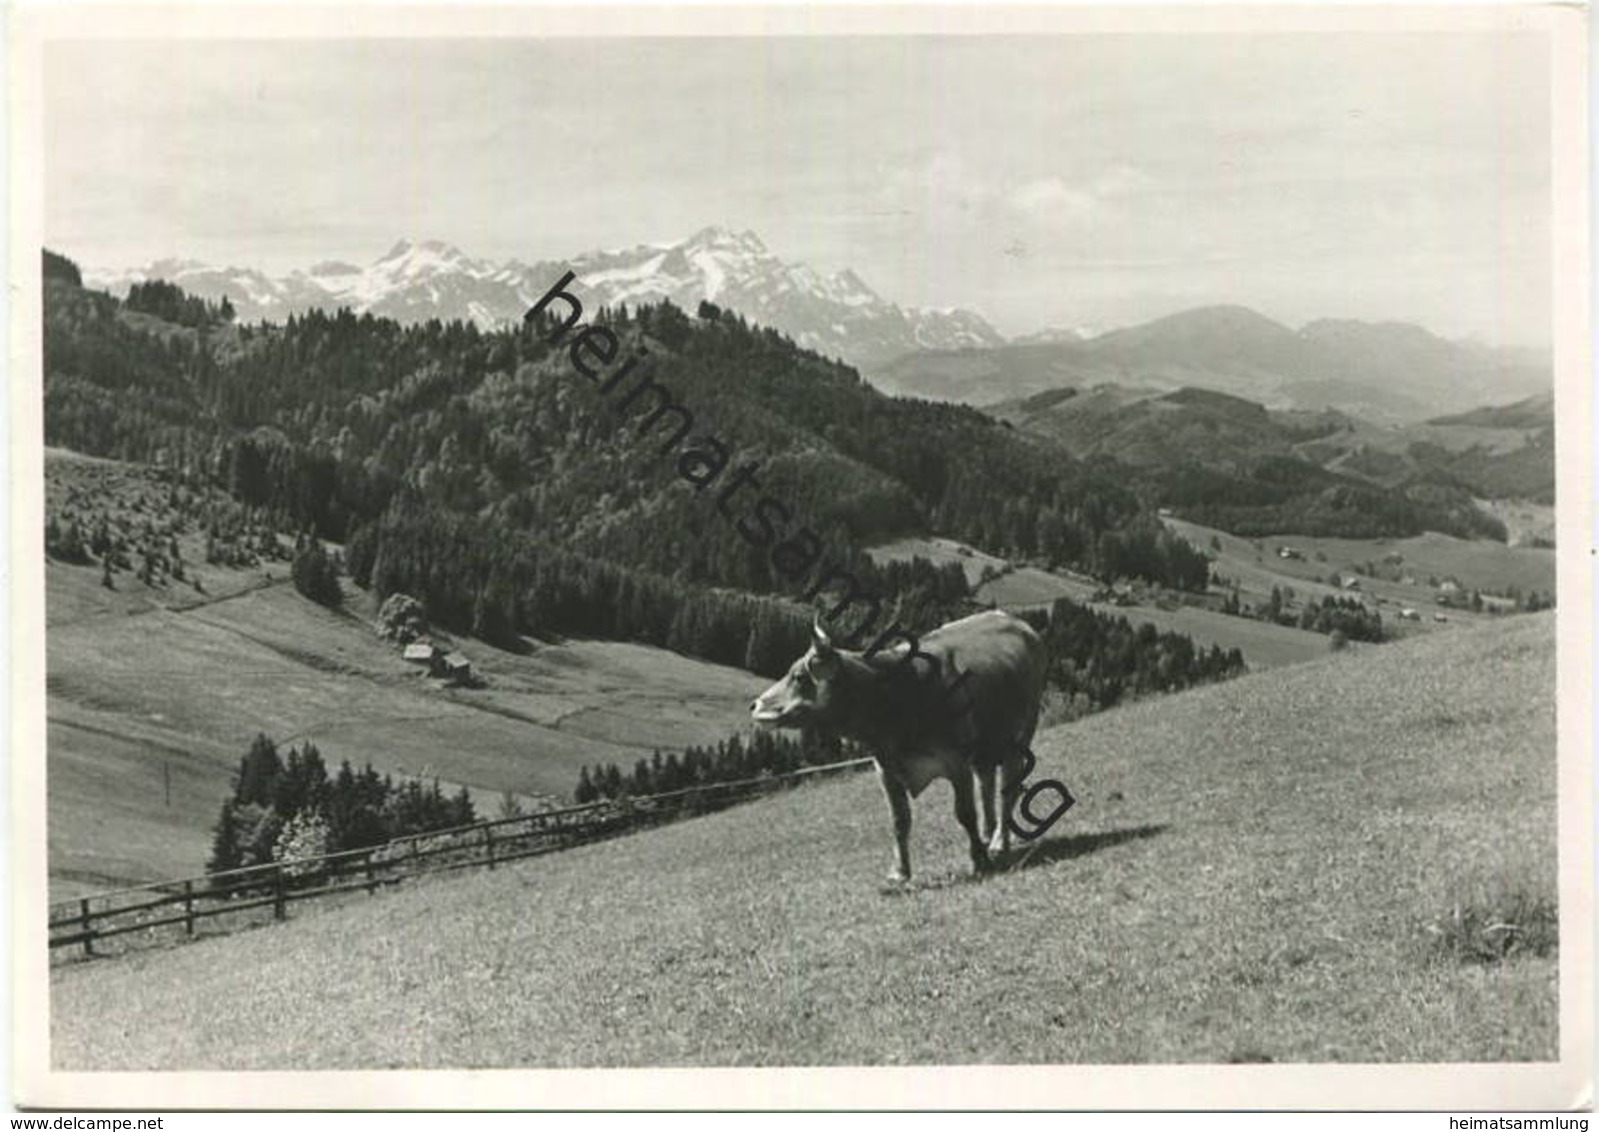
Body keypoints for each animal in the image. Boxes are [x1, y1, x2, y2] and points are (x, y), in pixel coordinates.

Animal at [748, 610, 1048, 882]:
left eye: (799, 676)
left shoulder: (957, 762)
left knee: (1007, 789)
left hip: (1020, 736)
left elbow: (964, 813)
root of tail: (1012, 620)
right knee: (986, 782)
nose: (755, 705)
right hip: (984, 750)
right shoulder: (885, 769)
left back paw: (998, 843)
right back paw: (988, 835)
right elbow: (899, 820)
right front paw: (899, 871)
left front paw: (979, 861)